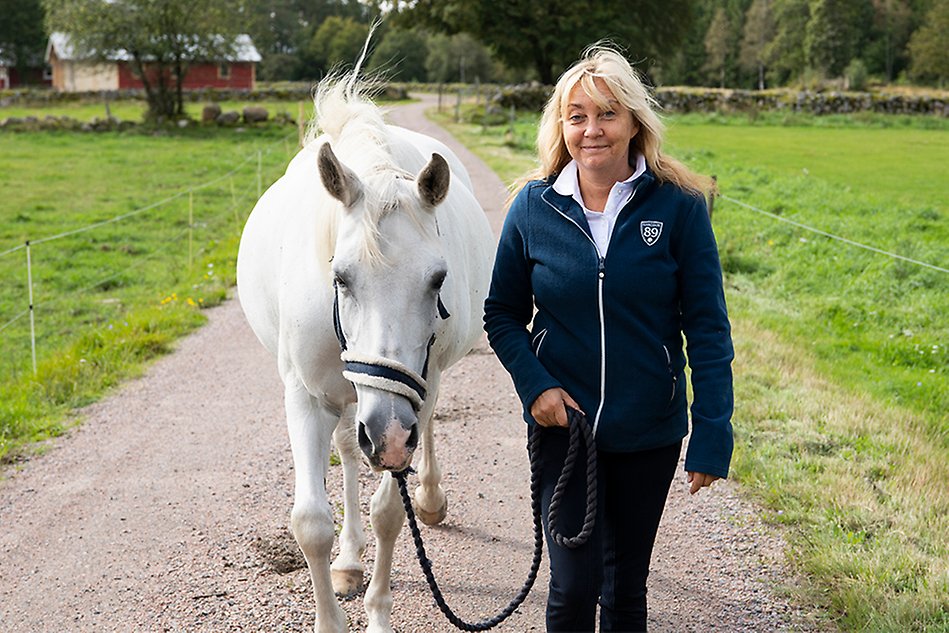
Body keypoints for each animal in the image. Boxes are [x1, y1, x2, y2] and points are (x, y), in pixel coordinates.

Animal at [236, 73, 492, 628]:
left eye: (438, 278)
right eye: (340, 277)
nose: (390, 436)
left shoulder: (414, 396)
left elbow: (389, 513)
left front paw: (377, 615)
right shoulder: (307, 397)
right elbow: (311, 521)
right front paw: (332, 610)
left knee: (422, 433)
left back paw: (430, 500)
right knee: (351, 452)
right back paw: (349, 560)